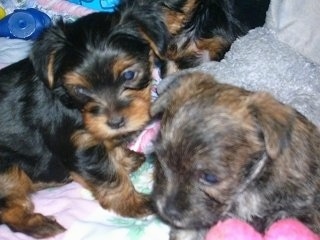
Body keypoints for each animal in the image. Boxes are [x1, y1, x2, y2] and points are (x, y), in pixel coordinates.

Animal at [0, 6, 170, 238]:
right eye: (81, 90)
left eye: (128, 75)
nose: (115, 122)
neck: (69, 102)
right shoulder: (80, 146)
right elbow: (110, 178)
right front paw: (134, 203)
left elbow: (110, 149)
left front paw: (124, 159)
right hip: (7, 168)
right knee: (7, 208)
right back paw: (39, 224)